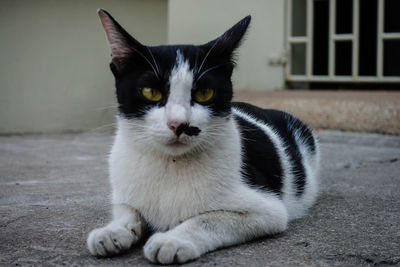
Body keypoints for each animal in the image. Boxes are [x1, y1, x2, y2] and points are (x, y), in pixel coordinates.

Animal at [86, 8, 318, 266]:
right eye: (150, 92)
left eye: (205, 93)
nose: (178, 124)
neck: (170, 165)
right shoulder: (125, 194)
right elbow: (128, 210)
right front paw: (112, 231)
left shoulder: (267, 210)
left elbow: (208, 219)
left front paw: (172, 240)